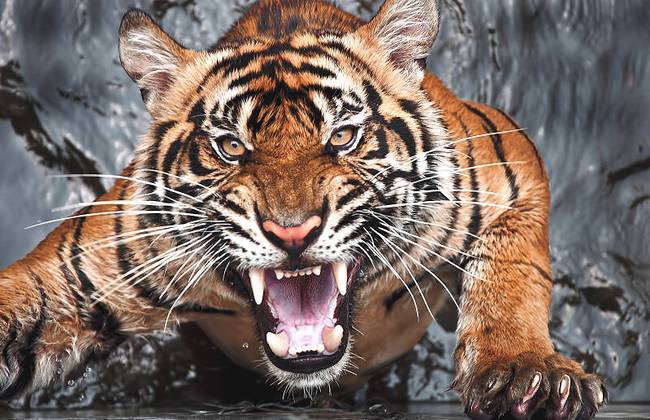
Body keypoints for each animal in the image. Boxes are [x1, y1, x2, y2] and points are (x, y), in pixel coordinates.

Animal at [0, 0, 607, 418]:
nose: (292, 233)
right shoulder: (76, 273)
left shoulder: (510, 164)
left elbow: (513, 272)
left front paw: (525, 371)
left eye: (341, 136)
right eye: (231, 147)